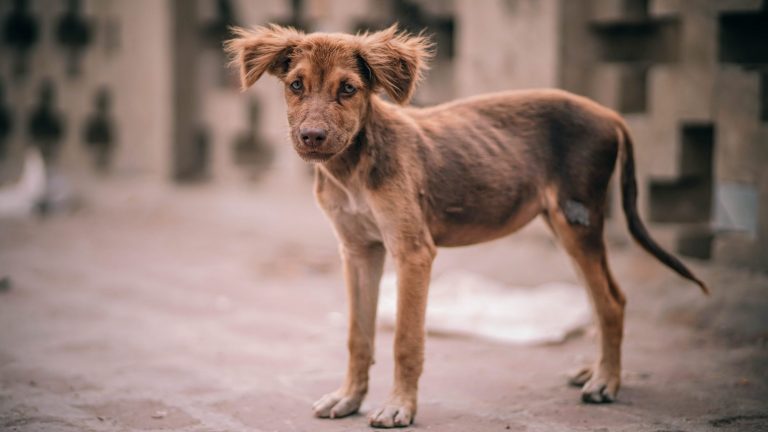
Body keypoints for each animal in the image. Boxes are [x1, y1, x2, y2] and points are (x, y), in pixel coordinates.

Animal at [224, 25, 708, 426]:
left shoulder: (413, 251)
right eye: (296, 86)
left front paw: (399, 406)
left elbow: (405, 339)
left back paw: (607, 381)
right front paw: (349, 397)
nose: (312, 137)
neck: (354, 167)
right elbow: (357, 336)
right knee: (601, 296)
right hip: (563, 224)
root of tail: (610, 114)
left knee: (611, 301)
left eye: (348, 89)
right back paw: (596, 370)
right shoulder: (358, 251)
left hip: (579, 219)